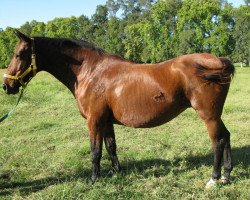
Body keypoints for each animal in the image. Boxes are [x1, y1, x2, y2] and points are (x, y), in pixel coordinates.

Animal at [2, 30, 234, 187]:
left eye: (20, 54)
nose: (6, 86)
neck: (91, 71)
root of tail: (218, 61)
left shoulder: (94, 120)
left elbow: (95, 151)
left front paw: (93, 179)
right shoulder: (106, 121)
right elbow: (111, 147)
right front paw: (117, 172)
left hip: (208, 115)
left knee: (217, 141)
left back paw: (213, 179)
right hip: (215, 115)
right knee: (226, 136)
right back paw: (225, 176)